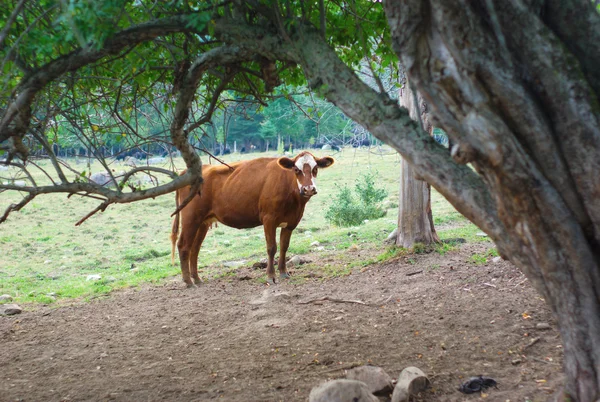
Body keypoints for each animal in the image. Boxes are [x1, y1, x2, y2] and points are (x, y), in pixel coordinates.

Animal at [171, 151, 336, 286]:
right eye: (296, 169)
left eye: (315, 169)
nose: (308, 189)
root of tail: (188, 172)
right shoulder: (269, 219)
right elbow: (272, 248)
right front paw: (271, 276)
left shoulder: (291, 222)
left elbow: (284, 246)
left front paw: (283, 272)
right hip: (191, 218)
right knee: (183, 245)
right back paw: (188, 281)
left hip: (203, 222)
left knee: (195, 248)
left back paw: (197, 279)